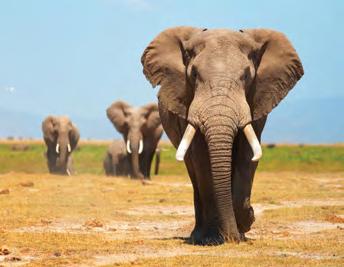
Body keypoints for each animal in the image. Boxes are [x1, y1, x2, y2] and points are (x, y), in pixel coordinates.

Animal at [142, 26, 304, 245]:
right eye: (194, 74)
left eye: (247, 75)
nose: (232, 237)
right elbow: (202, 161)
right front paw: (214, 237)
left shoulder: (256, 101)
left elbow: (247, 157)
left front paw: (244, 223)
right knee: (194, 175)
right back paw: (199, 235)